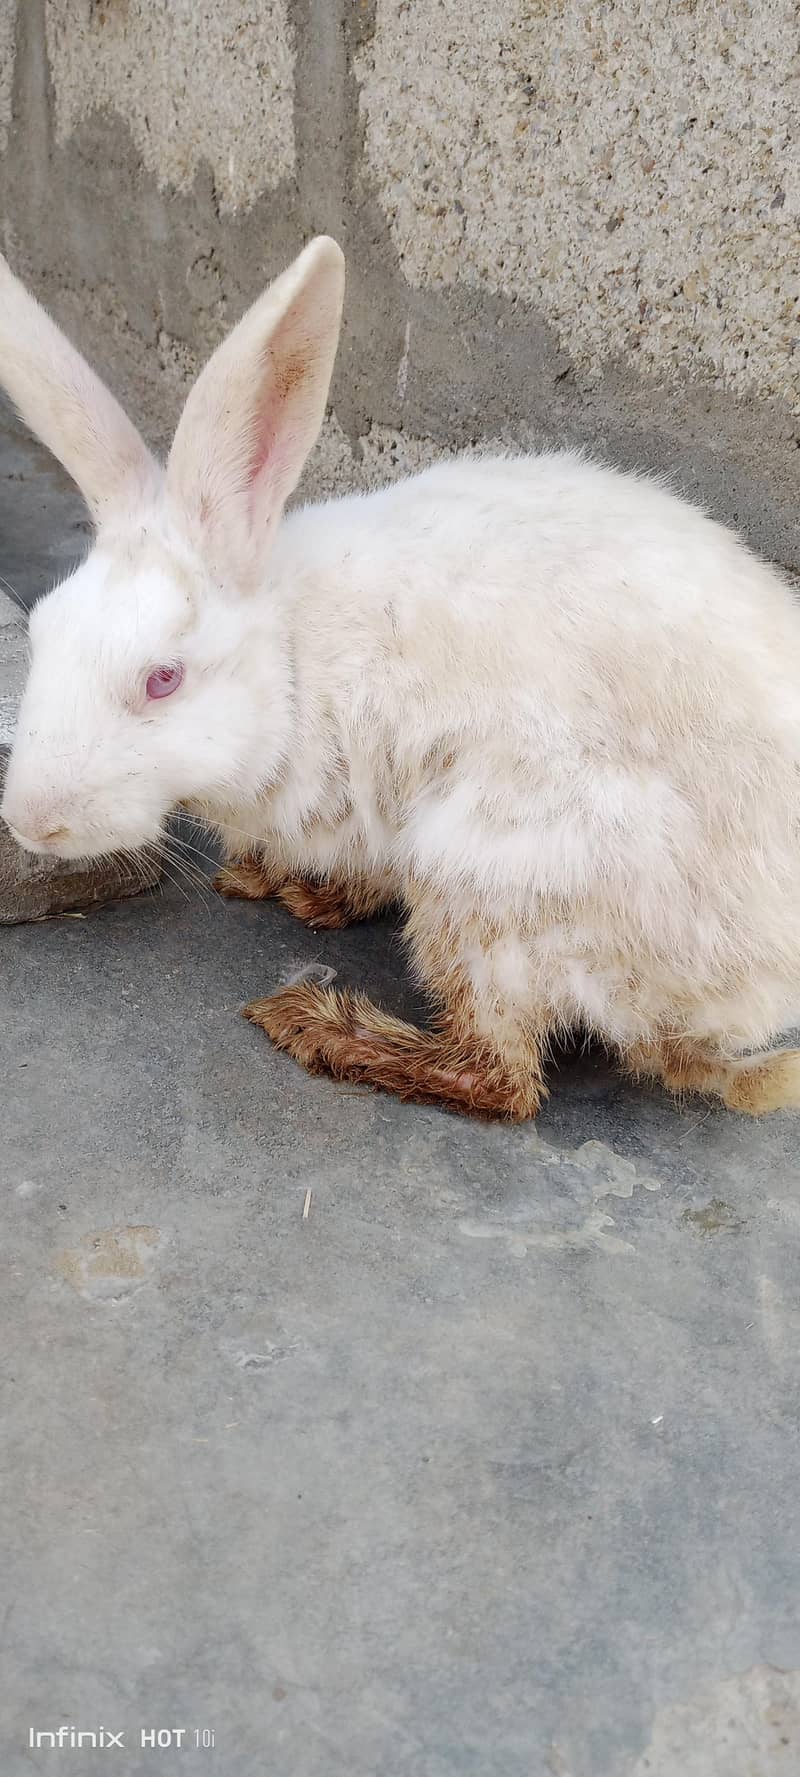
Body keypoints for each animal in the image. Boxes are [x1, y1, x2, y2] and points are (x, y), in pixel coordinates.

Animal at [2, 235, 800, 1122]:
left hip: (486, 878)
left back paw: (320, 1024)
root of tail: (740, 1018)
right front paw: (275, 883)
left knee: (499, 1075)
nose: (30, 824)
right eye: (41, 630)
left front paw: (285, 889)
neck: (291, 664)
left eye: (162, 679)